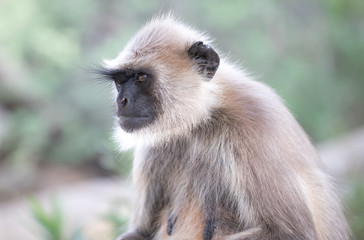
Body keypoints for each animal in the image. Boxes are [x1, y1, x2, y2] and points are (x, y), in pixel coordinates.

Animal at [98, 15, 348, 240]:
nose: (122, 101)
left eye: (141, 77)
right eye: (119, 82)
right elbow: (140, 233)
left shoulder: (254, 127)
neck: (203, 119)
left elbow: (292, 234)